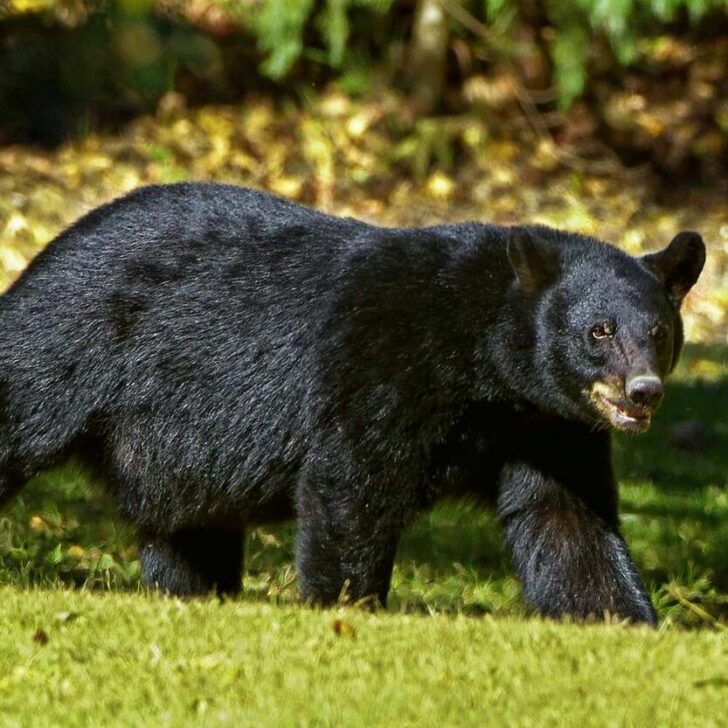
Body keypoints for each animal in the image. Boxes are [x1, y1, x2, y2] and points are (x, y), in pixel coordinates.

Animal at [0, 182, 705, 624]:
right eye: (599, 331)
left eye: (658, 332)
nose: (643, 391)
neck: (486, 363)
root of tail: (56, 241)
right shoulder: (383, 360)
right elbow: (352, 482)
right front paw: (346, 607)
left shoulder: (546, 426)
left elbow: (567, 521)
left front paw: (621, 619)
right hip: (69, 336)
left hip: (176, 453)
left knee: (190, 532)